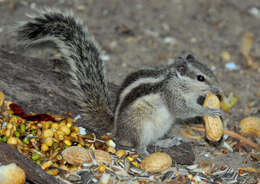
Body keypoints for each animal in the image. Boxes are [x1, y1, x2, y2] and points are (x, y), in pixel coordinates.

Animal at [16, 9, 222, 155]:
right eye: (200, 77)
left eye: (210, 70)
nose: (218, 90)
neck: (178, 83)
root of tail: (116, 130)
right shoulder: (171, 95)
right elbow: (183, 110)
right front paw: (209, 110)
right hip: (141, 126)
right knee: (139, 145)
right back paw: (145, 153)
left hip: (160, 127)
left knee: (152, 140)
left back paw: (166, 141)